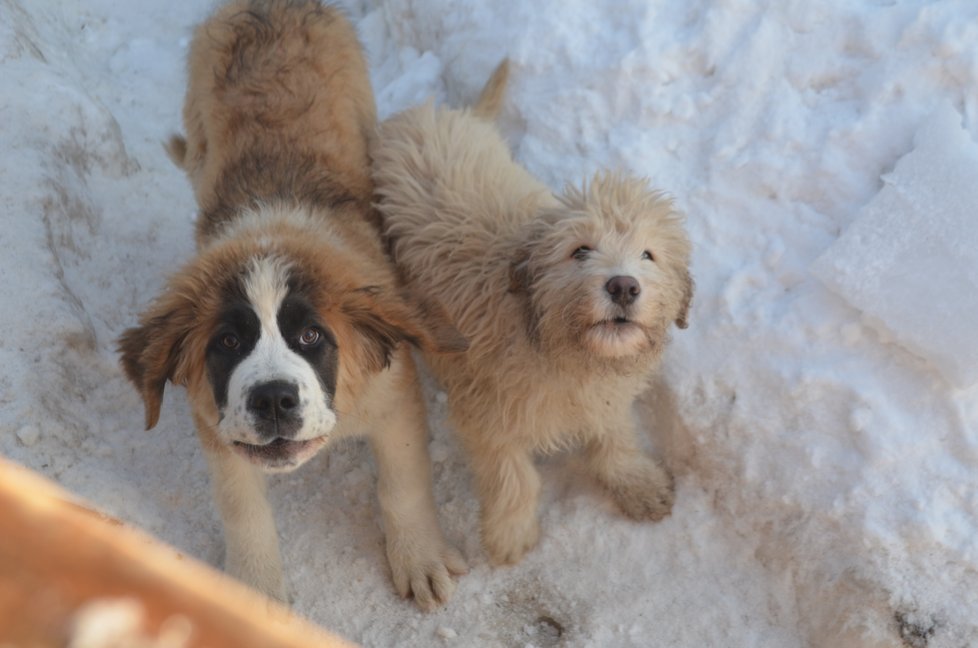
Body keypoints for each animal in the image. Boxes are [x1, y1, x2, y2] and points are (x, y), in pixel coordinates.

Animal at [118, 0, 468, 612]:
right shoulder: (217, 425)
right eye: (228, 342)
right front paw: (252, 596)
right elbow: (242, 512)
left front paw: (419, 557)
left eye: (311, 337)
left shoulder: (393, 397)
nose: (274, 399)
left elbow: (403, 485)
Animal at [368, 63, 692, 564]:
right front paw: (511, 533)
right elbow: (513, 477)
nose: (623, 285)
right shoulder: (486, 409)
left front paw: (636, 481)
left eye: (648, 254)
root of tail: (431, 112)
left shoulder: (604, 397)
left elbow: (616, 437)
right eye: (580, 250)